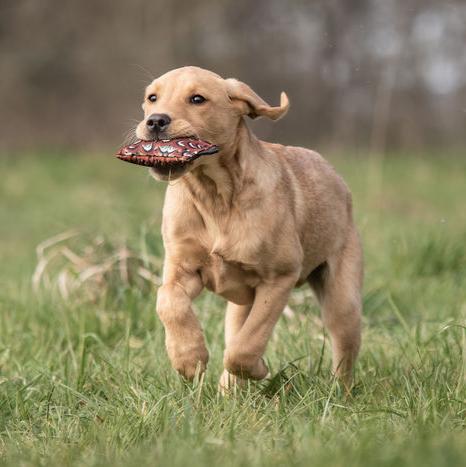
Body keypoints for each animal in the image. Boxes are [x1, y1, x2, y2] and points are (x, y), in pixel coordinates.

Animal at [133, 66, 362, 392]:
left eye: (197, 99)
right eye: (152, 98)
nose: (155, 121)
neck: (213, 194)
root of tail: (334, 175)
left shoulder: (279, 278)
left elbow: (247, 345)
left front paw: (258, 369)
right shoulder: (182, 268)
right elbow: (168, 300)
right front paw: (189, 359)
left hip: (342, 298)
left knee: (343, 347)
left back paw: (338, 392)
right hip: (239, 305)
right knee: (234, 332)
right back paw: (227, 391)